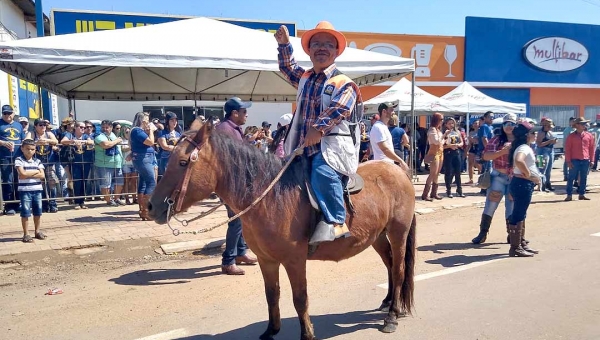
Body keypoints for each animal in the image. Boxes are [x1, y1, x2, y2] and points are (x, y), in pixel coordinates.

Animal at [148, 120, 414, 340]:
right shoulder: (266, 260)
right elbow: (271, 294)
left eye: (183, 162)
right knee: (390, 263)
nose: (151, 206)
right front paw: (271, 330)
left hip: (398, 232)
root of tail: (399, 169)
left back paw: (392, 315)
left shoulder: (294, 260)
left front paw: (307, 335)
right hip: (377, 235)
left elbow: (300, 299)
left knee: (399, 269)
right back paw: (388, 302)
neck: (270, 197)